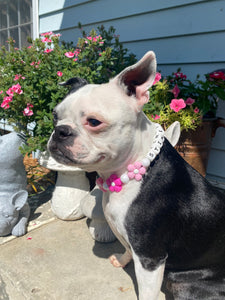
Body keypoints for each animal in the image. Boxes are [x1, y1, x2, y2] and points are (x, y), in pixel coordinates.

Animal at [48, 51, 225, 298]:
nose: (59, 131)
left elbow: (147, 291)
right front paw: (122, 260)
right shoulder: (130, 240)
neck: (130, 171)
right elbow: (127, 249)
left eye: (94, 122)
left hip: (184, 285)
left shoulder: (150, 258)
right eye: (55, 116)